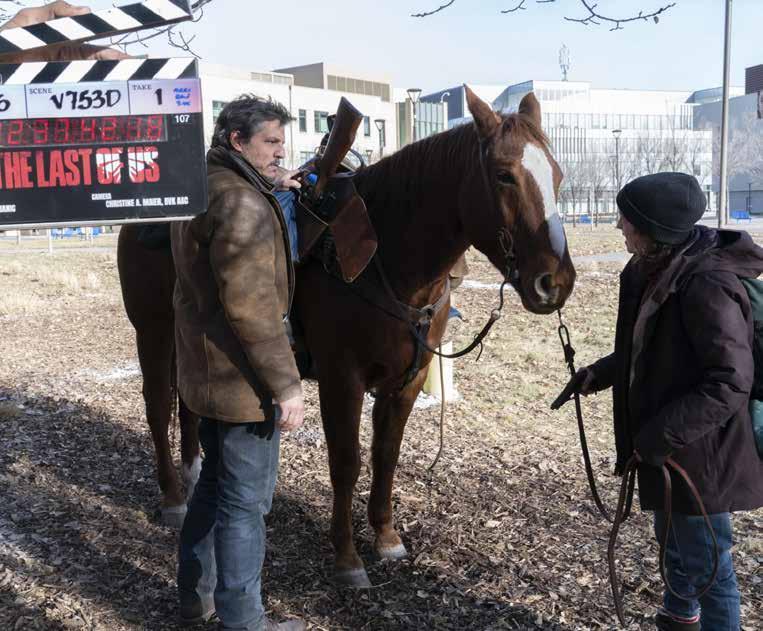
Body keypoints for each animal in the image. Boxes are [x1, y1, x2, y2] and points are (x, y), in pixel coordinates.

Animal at [116, 87, 576, 586]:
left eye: (558, 174)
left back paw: (194, 472)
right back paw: (173, 497)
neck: (390, 260)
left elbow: (386, 455)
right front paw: (347, 556)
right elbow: (346, 462)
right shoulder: (342, 380)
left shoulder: (408, 382)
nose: (554, 282)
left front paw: (387, 537)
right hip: (153, 332)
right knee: (158, 405)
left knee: (191, 403)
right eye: (504, 175)